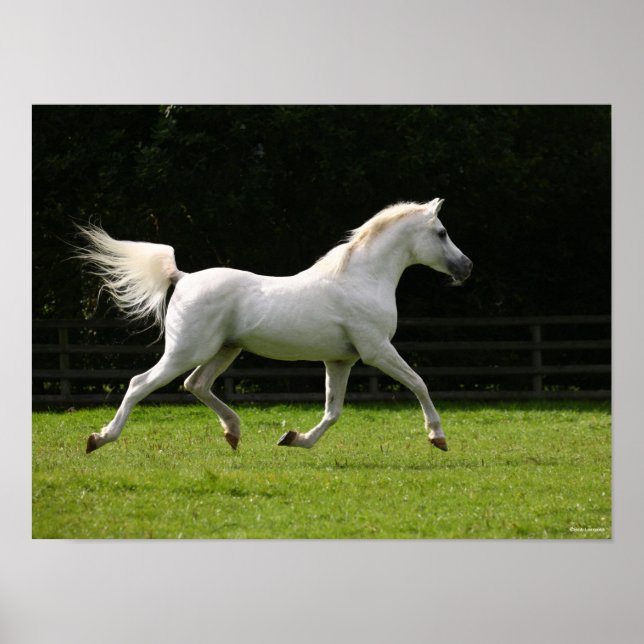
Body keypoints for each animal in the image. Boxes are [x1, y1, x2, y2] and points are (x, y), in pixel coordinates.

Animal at [77, 199, 472, 454]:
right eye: (441, 232)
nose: (466, 267)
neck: (361, 279)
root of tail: (183, 277)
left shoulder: (340, 360)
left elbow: (333, 411)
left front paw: (295, 439)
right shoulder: (377, 351)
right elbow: (419, 383)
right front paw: (438, 438)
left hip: (224, 350)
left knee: (197, 384)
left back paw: (233, 433)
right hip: (186, 351)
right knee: (139, 384)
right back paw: (99, 439)